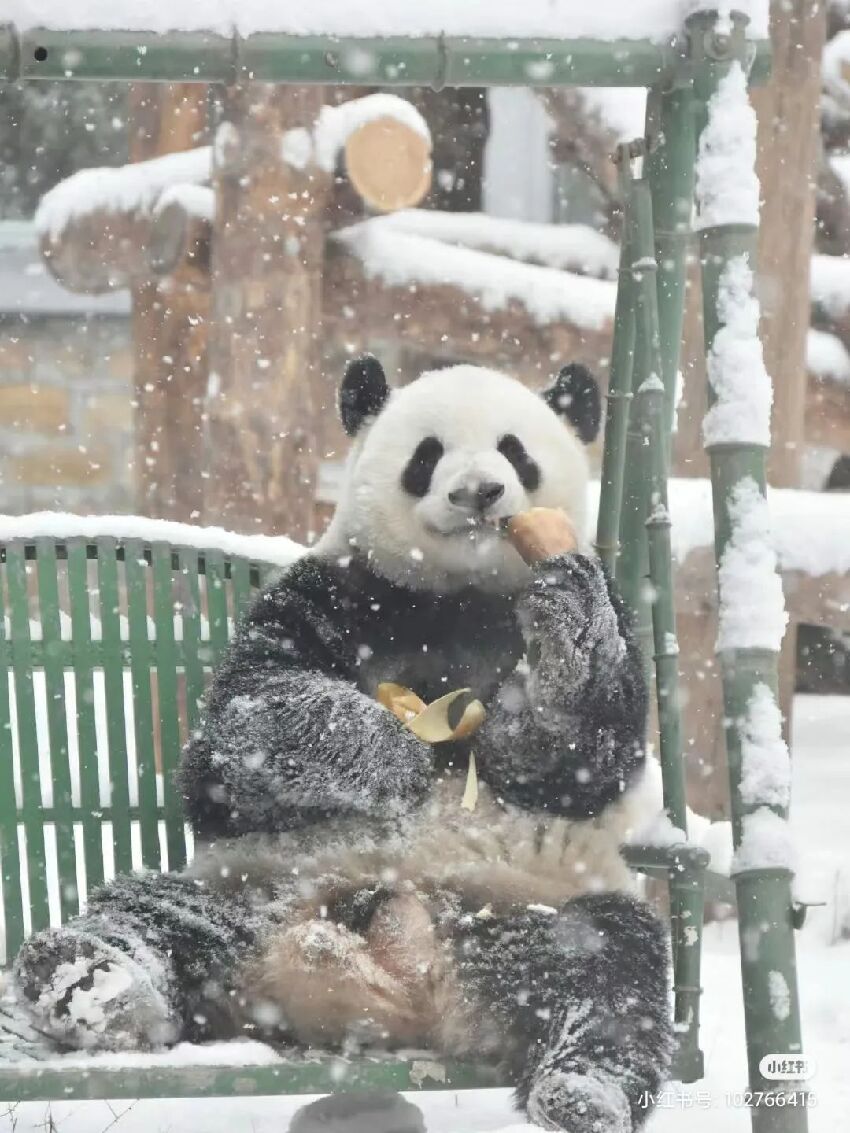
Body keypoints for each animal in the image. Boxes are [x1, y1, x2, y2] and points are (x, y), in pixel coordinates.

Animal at [15, 360, 670, 1133]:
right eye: (427, 455)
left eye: (514, 451)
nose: (479, 491)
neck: (459, 592)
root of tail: (401, 986)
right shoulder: (332, 590)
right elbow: (233, 740)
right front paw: (397, 754)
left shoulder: (611, 615)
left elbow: (585, 755)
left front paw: (563, 623)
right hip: (246, 892)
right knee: (145, 912)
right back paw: (86, 981)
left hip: (528, 910)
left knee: (610, 969)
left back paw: (583, 1093)